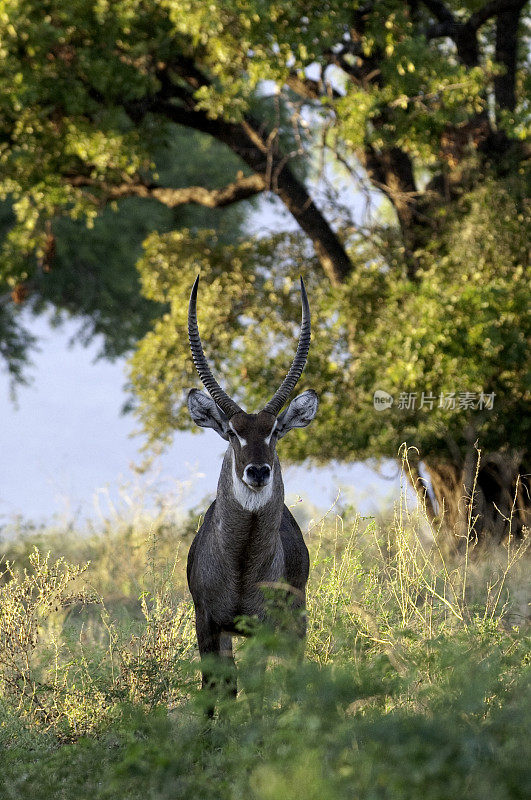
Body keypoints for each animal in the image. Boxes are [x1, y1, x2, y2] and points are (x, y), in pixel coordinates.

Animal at [187, 276, 318, 708]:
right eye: (231, 431)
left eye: (275, 430)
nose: (257, 471)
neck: (241, 561)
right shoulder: (209, 625)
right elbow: (216, 692)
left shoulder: (264, 628)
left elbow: (259, 693)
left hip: (294, 625)